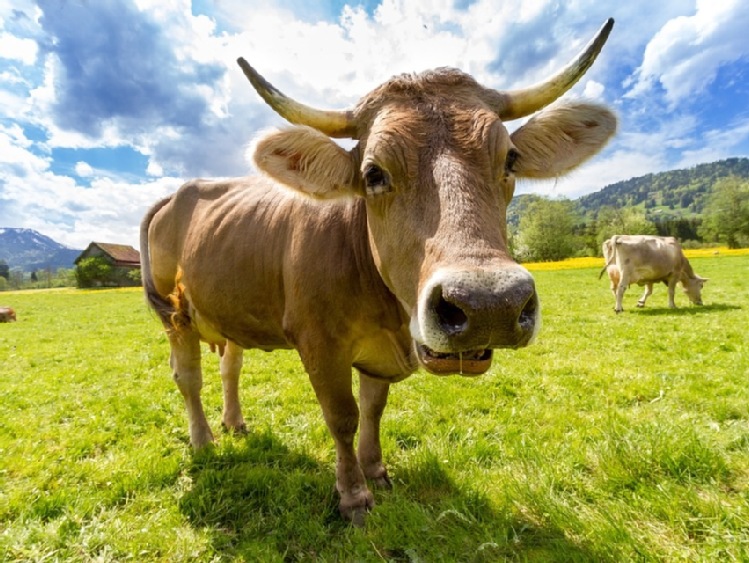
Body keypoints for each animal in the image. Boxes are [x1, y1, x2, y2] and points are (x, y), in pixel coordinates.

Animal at [140, 19, 612, 528]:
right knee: (188, 377)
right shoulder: (319, 344)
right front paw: (353, 495)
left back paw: (234, 423)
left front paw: (376, 471)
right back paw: (204, 440)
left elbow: (373, 408)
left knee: (231, 365)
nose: (490, 304)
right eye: (373, 173)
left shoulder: (379, 352)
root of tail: (181, 191)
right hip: (175, 315)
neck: (387, 311)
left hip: (227, 309)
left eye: (509, 159)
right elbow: (342, 416)